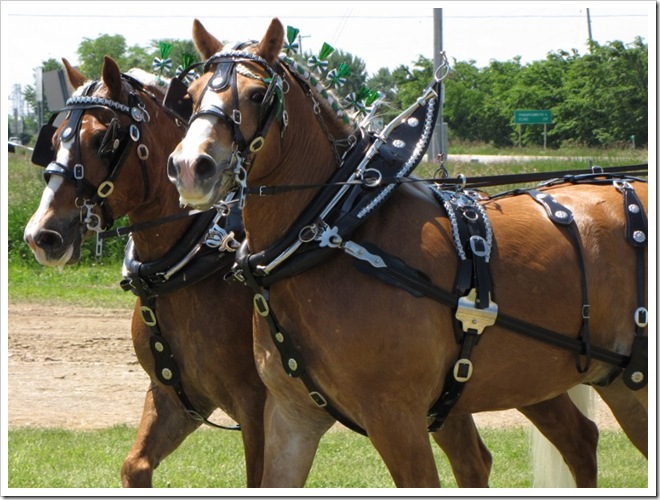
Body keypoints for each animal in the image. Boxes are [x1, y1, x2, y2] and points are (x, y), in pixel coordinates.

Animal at [20, 56, 625, 490]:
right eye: (53, 138)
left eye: (102, 138)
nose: (42, 234)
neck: (198, 259)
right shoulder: (174, 399)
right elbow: (135, 467)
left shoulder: (257, 407)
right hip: (510, 375)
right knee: (548, 445)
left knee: (549, 445)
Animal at [166, 18, 649, 488]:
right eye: (190, 95)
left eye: (256, 94)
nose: (191, 167)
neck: (335, 231)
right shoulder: (292, 416)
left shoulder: (396, 419)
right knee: (580, 441)